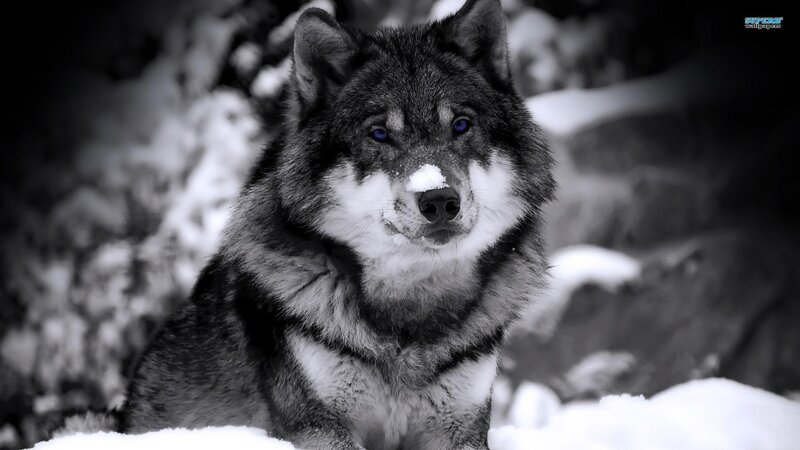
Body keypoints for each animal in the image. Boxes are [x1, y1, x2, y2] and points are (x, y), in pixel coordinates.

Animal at [113, 0, 555, 448]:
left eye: (461, 125)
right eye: (379, 134)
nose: (439, 200)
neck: (409, 313)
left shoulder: (461, 427)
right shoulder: (319, 425)